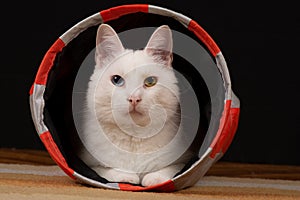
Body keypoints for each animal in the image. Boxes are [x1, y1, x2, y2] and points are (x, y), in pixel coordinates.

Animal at [77, 24, 192, 187]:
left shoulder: (186, 159)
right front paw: (126, 175)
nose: (134, 99)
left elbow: (171, 168)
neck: (134, 136)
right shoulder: (86, 162)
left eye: (150, 81)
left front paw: (154, 178)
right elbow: (104, 169)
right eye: (117, 80)